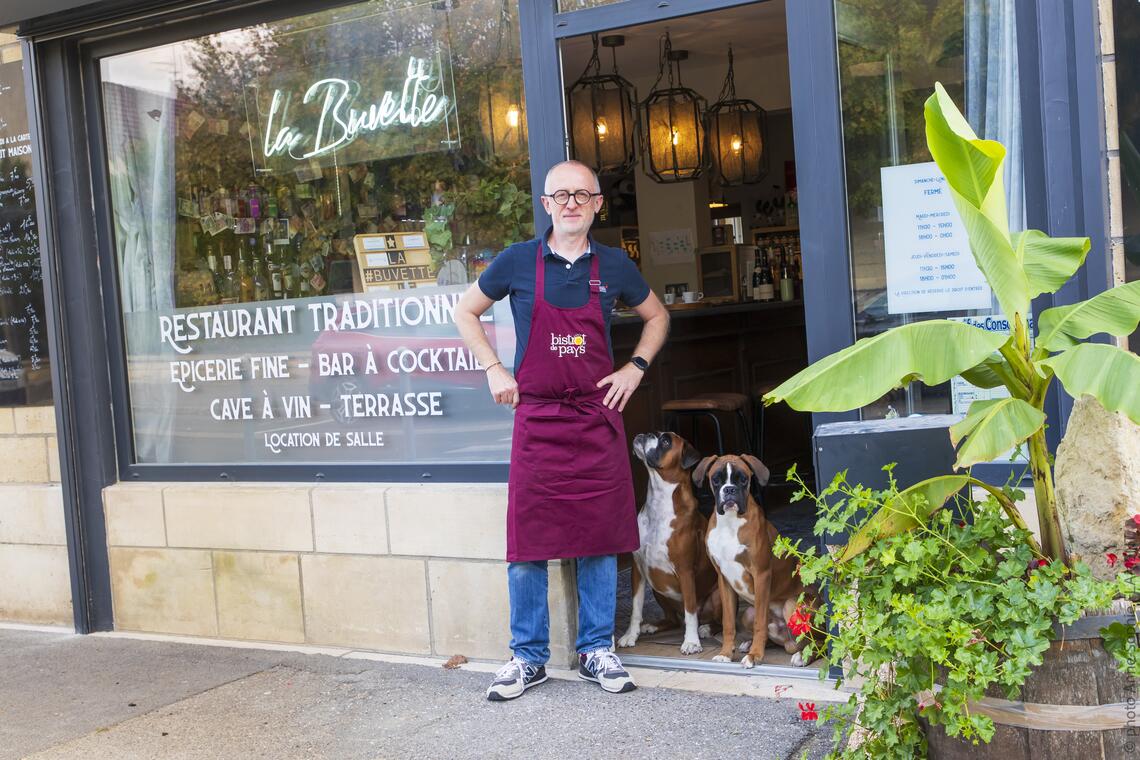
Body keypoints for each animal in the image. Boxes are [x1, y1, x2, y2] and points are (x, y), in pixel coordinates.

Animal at [620, 432, 715, 656]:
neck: (659, 501)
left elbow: (690, 610)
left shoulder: (685, 571)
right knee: (674, 620)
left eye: (666, 442)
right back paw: (654, 626)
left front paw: (691, 642)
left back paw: (706, 628)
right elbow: (636, 607)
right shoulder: (638, 570)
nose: (646, 434)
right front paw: (631, 635)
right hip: (657, 587)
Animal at [688, 455, 816, 669]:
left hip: (793, 606)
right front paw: (726, 653)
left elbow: (760, 623)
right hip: (747, 612)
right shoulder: (723, 579)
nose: (729, 490)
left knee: (820, 641)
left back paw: (802, 656)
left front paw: (755, 655)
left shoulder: (761, 574)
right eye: (716, 479)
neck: (730, 522)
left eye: (743, 479)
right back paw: (748, 644)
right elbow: (728, 622)